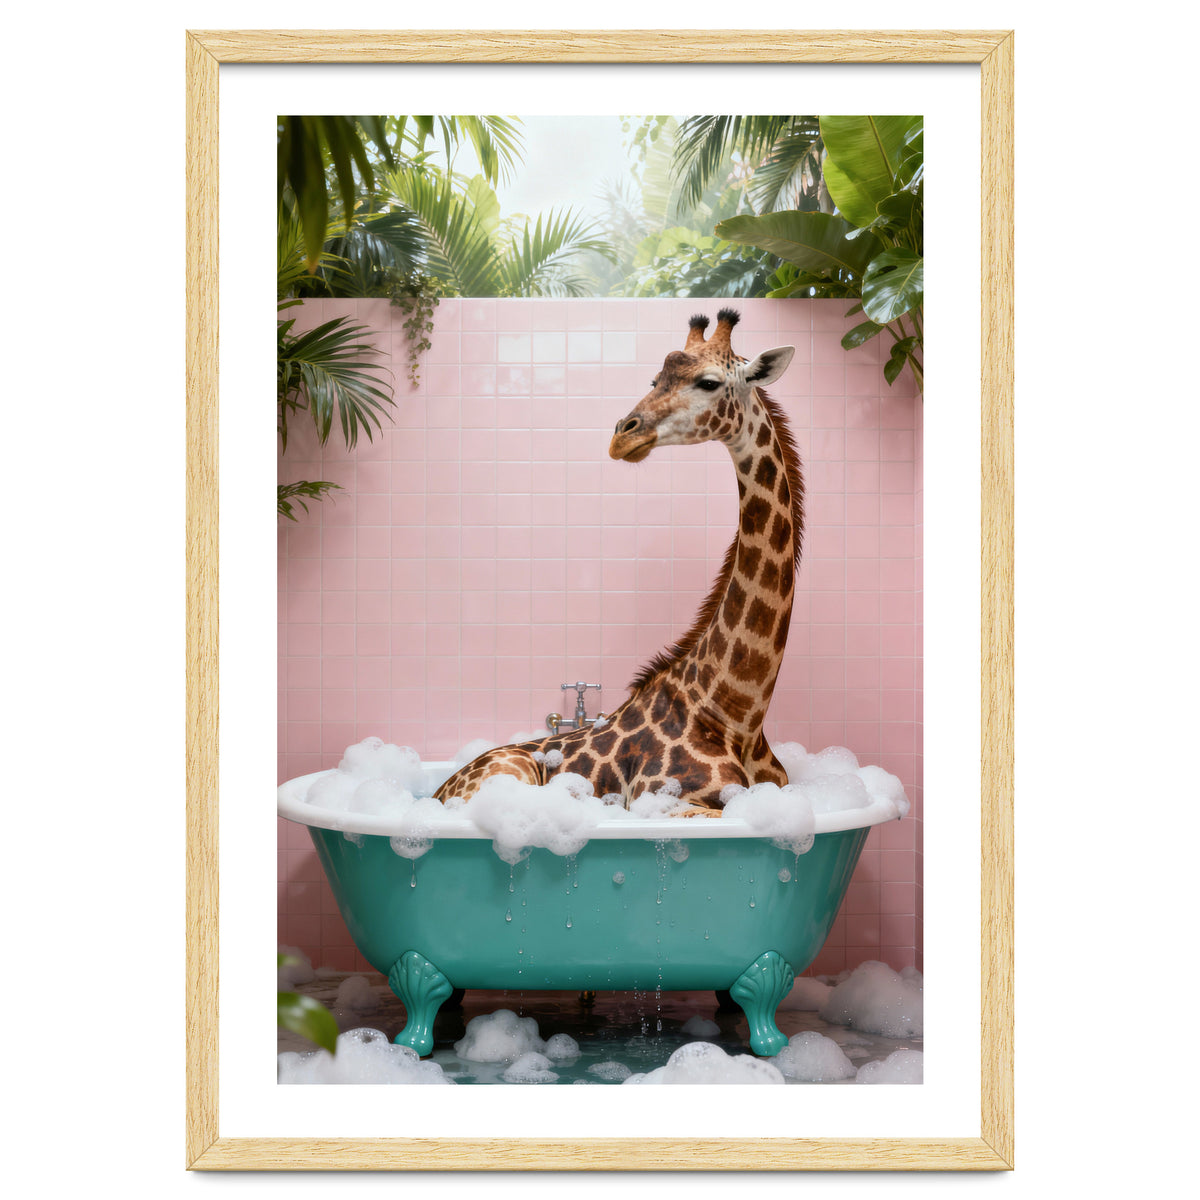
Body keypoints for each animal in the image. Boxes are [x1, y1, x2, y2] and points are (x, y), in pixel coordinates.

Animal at [434, 308, 801, 817]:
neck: (737, 714)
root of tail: (437, 790)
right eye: (654, 379)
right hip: (512, 773)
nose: (623, 436)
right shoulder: (661, 800)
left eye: (708, 382)